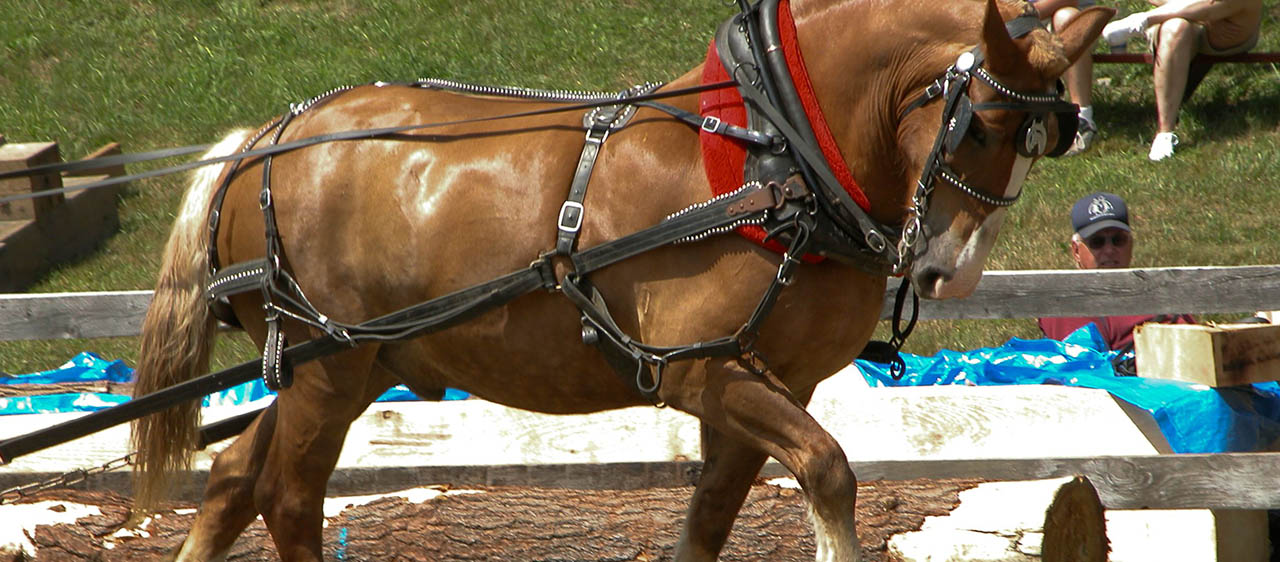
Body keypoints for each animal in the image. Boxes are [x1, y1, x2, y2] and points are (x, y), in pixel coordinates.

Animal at [129, 0, 1109, 559]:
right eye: (983, 126)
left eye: (1047, 139)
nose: (955, 270)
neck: (777, 156)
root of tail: (260, 140)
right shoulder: (701, 371)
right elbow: (829, 473)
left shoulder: (768, 384)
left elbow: (710, 516)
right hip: (329, 368)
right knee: (286, 499)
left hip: (344, 365)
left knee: (230, 482)